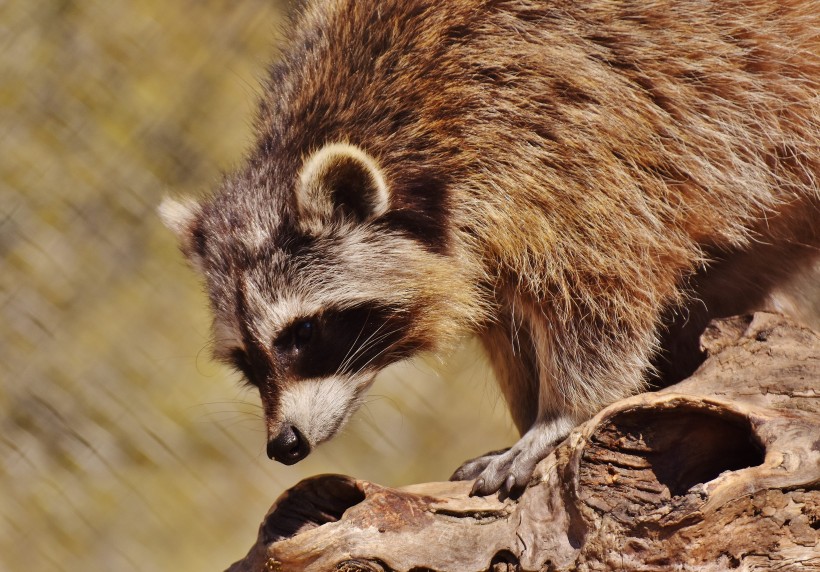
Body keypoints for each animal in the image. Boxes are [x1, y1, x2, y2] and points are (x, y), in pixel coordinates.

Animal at [162, 0, 820, 496]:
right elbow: (507, 319)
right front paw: (531, 409)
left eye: (301, 334)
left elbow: (602, 287)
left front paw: (562, 415)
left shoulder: (563, 133)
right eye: (246, 362)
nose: (285, 445)